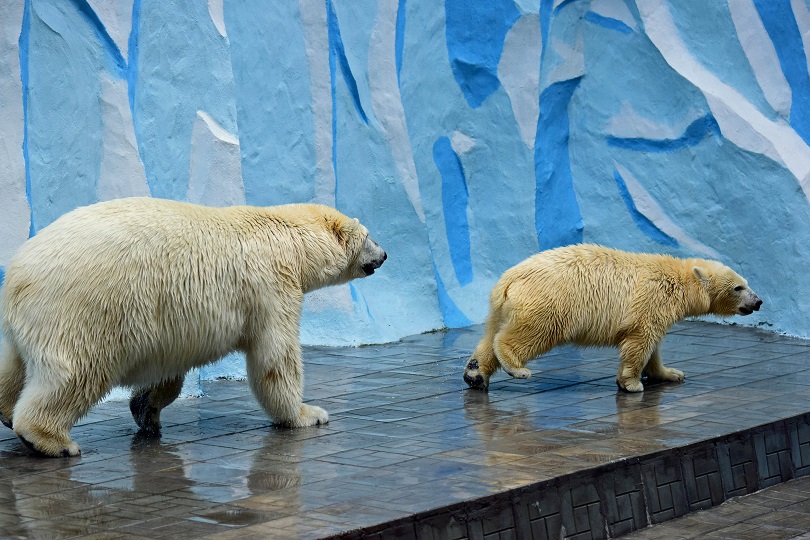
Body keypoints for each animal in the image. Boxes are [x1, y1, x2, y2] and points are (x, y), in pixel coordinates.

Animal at [0, 197, 386, 456]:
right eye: (370, 235)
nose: (384, 255)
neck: (288, 236)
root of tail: (19, 275)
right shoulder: (272, 286)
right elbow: (275, 358)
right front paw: (309, 414)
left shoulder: (176, 324)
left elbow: (169, 368)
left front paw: (146, 409)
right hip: (83, 310)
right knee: (77, 372)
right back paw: (51, 440)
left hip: (29, 321)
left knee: (14, 366)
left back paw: (4, 411)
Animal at [464, 245, 760, 392]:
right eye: (738, 287)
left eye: (747, 283)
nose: (758, 301)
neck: (677, 279)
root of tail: (509, 279)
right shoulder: (651, 301)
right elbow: (640, 342)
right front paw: (631, 384)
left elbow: (653, 348)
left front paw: (670, 373)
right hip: (551, 302)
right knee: (530, 333)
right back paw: (518, 368)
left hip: (501, 307)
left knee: (489, 336)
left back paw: (475, 373)